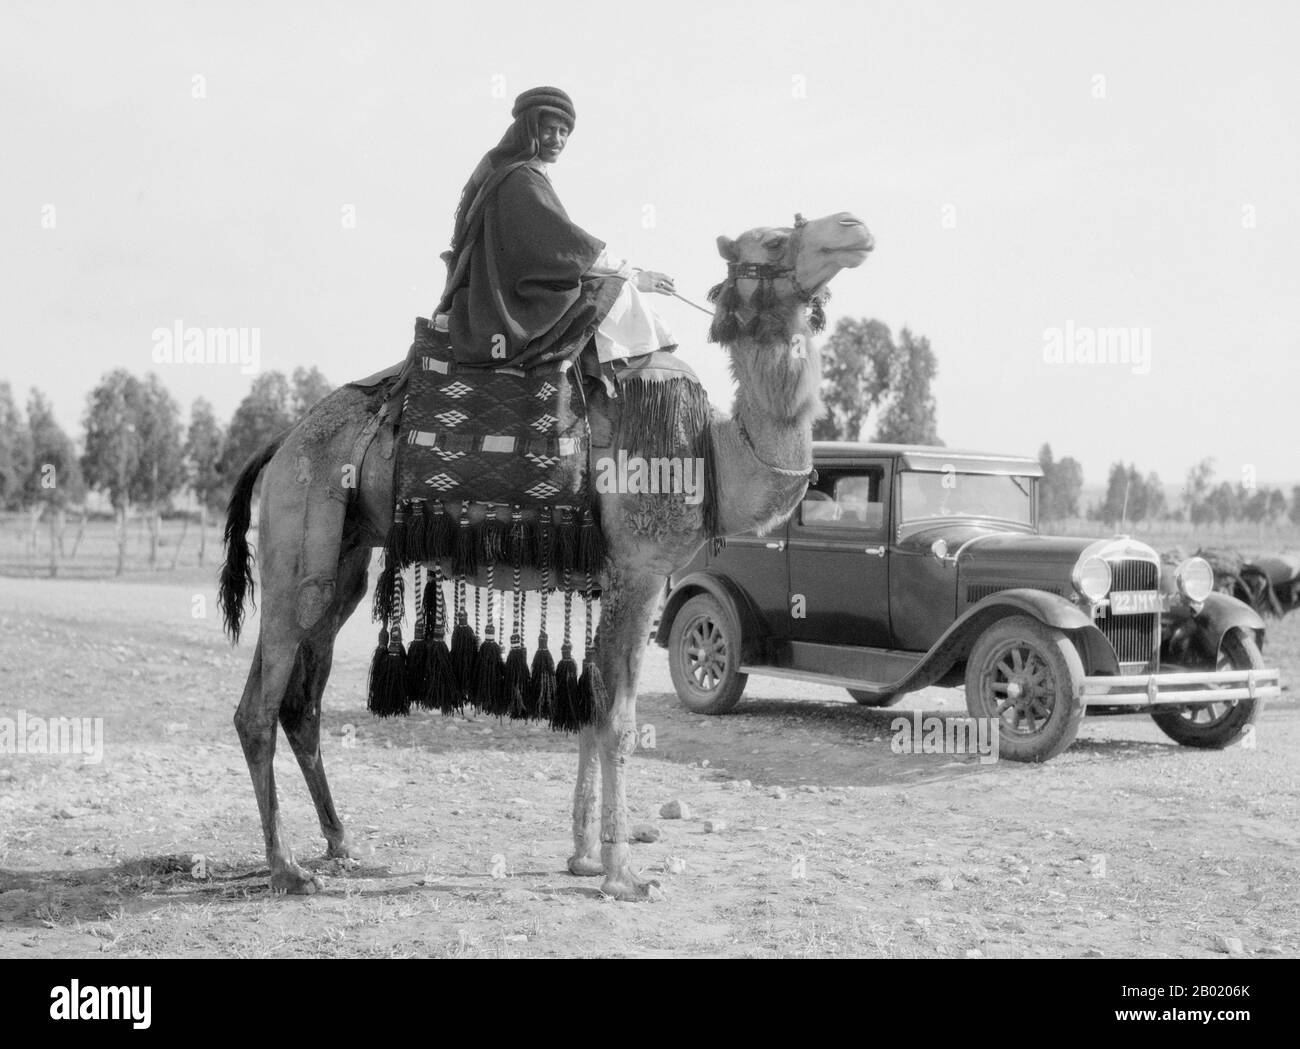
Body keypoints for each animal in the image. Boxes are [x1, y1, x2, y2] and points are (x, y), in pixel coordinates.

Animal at [220, 209, 873, 899]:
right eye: (775, 238)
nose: (855, 227)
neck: (713, 452)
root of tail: (283, 441)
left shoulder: (606, 581)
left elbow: (589, 707)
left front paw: (583, 856)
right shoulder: (640, 573)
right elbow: (619, 720)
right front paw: (623, 874)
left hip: (343, 555)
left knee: (302, 696)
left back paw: (340, 844)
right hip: (302, 522)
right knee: (261, 703)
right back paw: (287, 868)